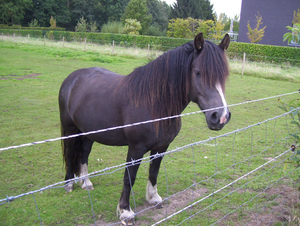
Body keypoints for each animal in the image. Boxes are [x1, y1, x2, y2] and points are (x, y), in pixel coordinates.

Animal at [59, 32, 232, 223]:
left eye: (224, 75)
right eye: (198, 73)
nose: (221, 116)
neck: (155, 104)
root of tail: (73, 78)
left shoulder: (162, 146)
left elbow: (154, 171)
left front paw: (153, 198)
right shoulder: (136, 149)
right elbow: (129, 177)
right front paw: (125, 211)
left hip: (89, 132)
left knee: (84, 153)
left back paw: (86, 182)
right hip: (70, 130)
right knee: (70, 152)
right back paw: (68, 184)